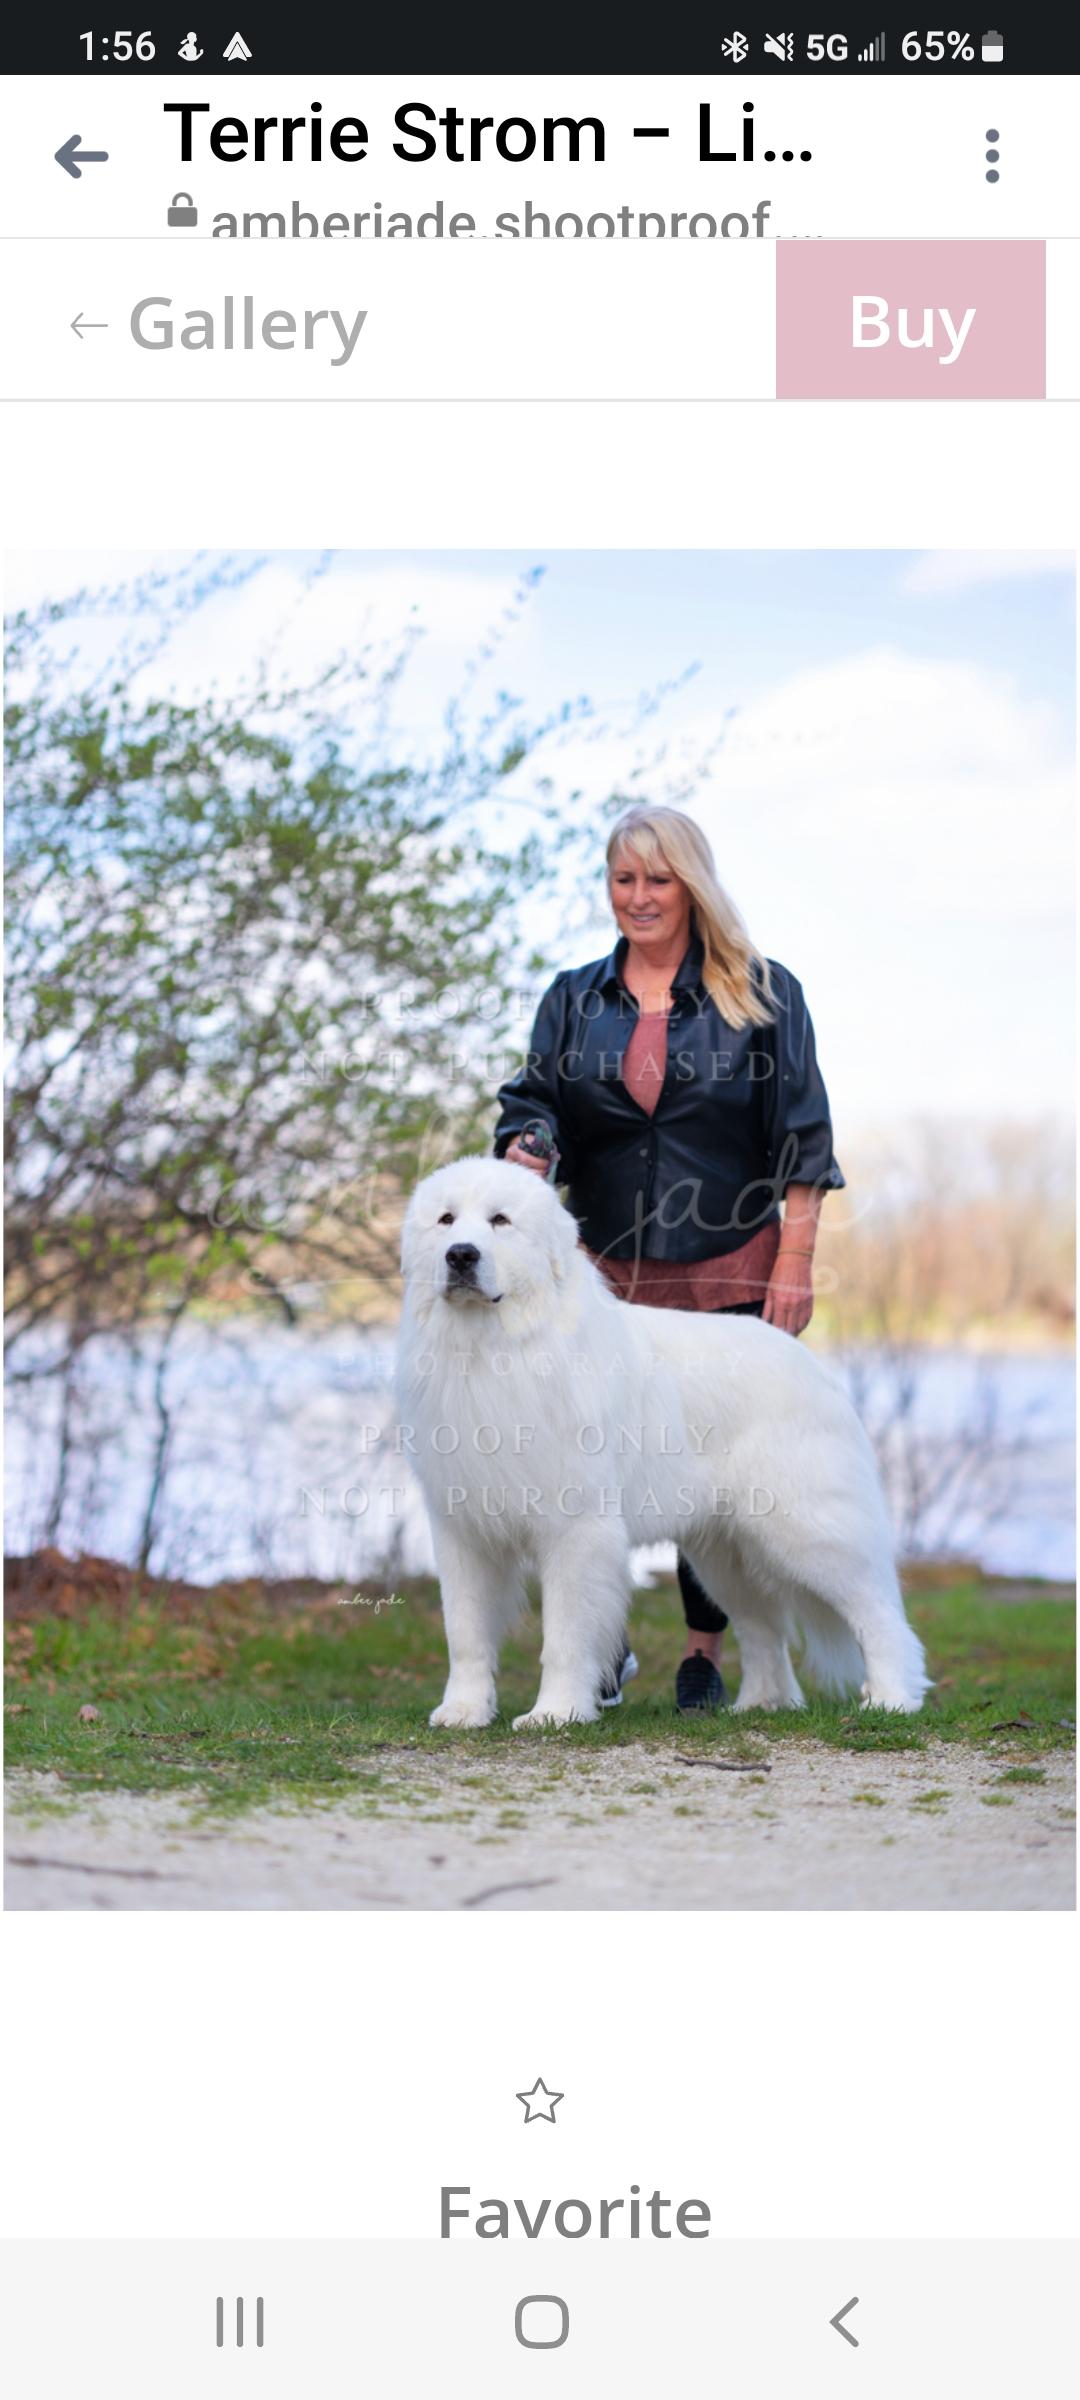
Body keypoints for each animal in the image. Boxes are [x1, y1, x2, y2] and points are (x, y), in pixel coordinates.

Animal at [395, 1155, 929, 1728]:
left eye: (500, 1220)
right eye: (446, 1220)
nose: (460, 1255)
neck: (492, 1349)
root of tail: (811, 1363)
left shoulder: (575, 1528)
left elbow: (563, 1637)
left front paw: (555, 1713)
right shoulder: (461, 1529)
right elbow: (465, 1632)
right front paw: (463, 1710)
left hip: (809, 1530)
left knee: (879, 1613)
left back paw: (892, 1698)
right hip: (726, 1554)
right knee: (763, 1630)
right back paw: (761, 1703)